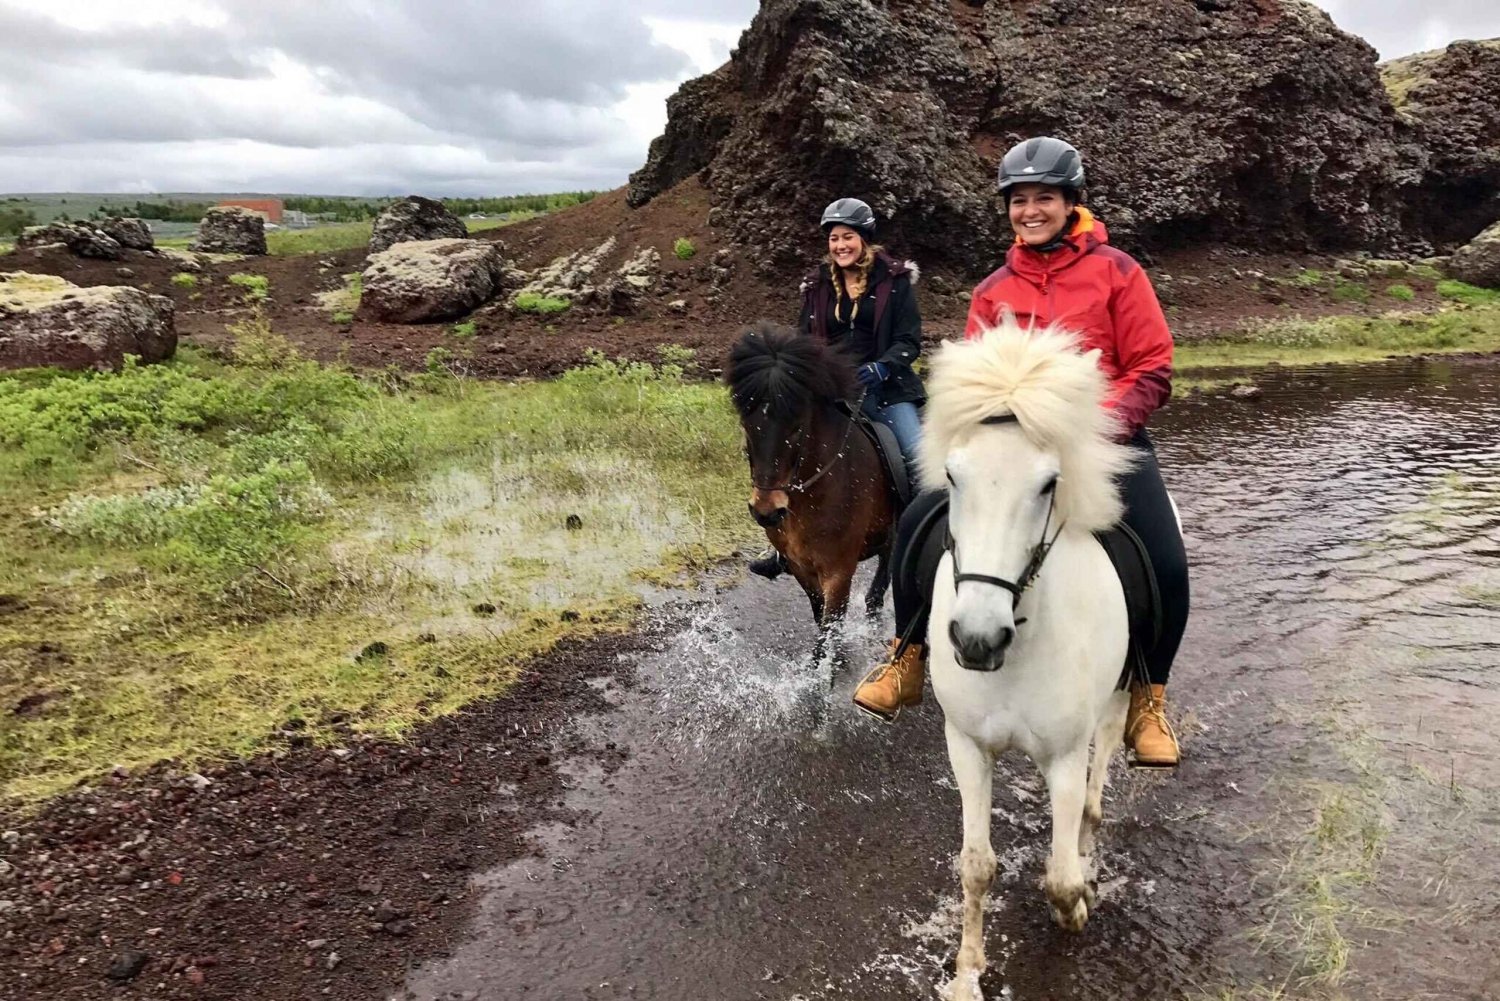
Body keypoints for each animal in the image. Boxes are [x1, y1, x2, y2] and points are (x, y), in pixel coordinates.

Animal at [729, 325, 894, 660]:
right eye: (747, 426)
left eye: (796, 428)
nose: (767, 511)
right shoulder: (800, 566)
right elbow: (821, 620)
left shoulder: (839, 572)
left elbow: (827, 632)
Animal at [912, 319, 1134, 996]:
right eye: (953, 475)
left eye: (1048, 484)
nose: (976, 639)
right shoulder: (966, 745)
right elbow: (976, 867)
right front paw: (967, 972)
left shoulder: (1063, 756)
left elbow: (1060, 878)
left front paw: (1078, 906)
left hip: (1118, 702)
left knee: (1097, 785)